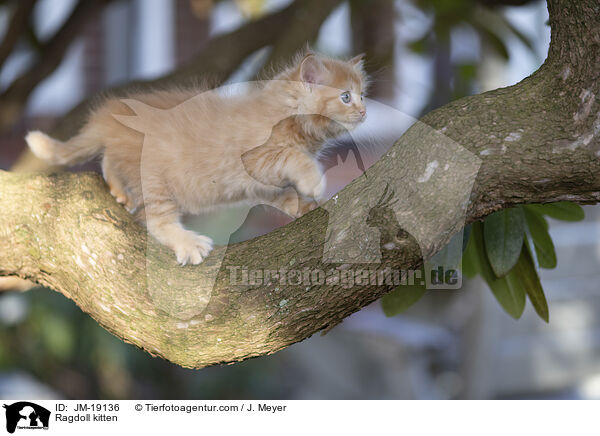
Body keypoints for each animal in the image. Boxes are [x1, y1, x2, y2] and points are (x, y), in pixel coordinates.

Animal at [25, 49, 368, 264]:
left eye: (363, 95)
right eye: (345, 97)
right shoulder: (254, 158)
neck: (286, 113)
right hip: (155, 179)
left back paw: (120, 192)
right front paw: (313, 182)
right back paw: (188, 243)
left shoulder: (260, 184)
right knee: (157, 221)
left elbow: (282, 193)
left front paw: (304, 205)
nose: (365, 112)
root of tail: (108, 117)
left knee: (109, 159)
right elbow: (293, 159)